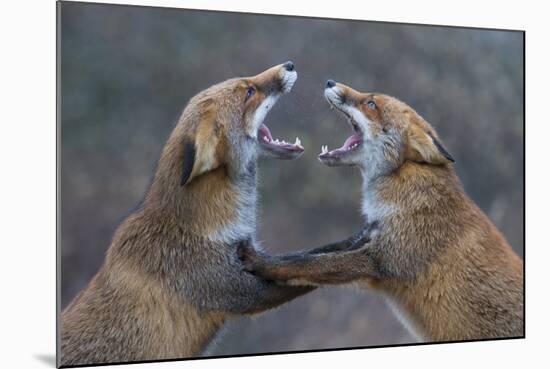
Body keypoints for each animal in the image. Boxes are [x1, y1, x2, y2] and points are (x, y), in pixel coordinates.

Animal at [61, 61, 336, 364]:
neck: (198, 228)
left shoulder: (252, 258)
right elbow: (316, 270)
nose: (289, 64)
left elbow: (314, 254)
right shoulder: (239, 291)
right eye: (249, 92)